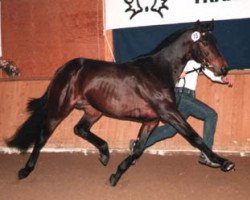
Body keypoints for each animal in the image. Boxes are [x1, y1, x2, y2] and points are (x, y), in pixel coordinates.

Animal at [7, 20, 234, 186]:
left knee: (79, 129)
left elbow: (139, 149)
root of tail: (63, 69)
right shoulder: (169, 113)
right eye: (204, 43)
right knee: (43, 136)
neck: (157, 71)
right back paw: (25, 170)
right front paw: (223, 162)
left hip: (93, 110)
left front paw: (115, 175)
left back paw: (105, 154)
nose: (223, 69)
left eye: (215, 42)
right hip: (60, 108)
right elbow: (195, 137)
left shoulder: (152, 120)